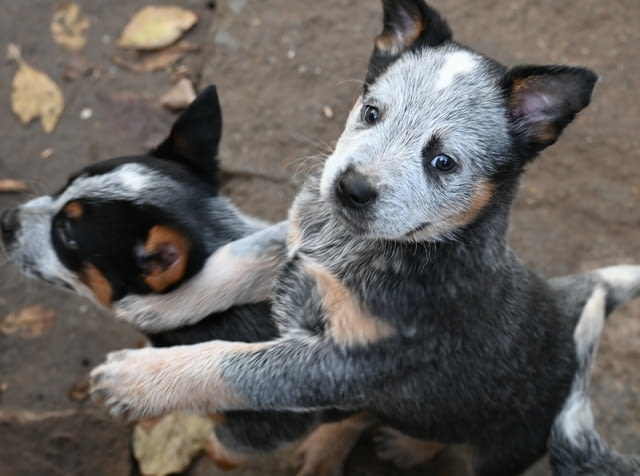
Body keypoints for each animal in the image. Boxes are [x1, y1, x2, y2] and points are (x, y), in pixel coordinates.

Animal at [86, 3, 640, 476]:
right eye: (372, 112)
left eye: (443, 162)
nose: (350, 188)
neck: (354, 247)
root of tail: (566, 308)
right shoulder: (296, 240)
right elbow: (230, 263)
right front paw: (159, 306)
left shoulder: (350, 363)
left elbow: (230, 364)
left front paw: (139, 379)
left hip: (503, 447)